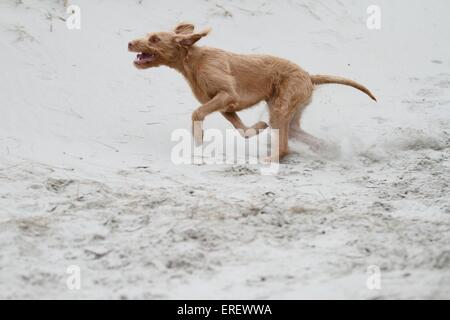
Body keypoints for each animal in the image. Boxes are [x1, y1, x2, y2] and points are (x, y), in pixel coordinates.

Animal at [127, 23, 376, 161]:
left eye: (154, 39)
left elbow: (197, 113)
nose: (129, 43)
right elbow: (244, 131)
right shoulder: (226, 107)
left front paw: (198, 141)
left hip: (282, 105)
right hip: (287, 109)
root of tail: (308, 75)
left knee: (285, 147)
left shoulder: (227, 95)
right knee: (297, 133)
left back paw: (271, 159)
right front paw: (257, 128)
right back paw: (328, 148)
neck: (193, 59)